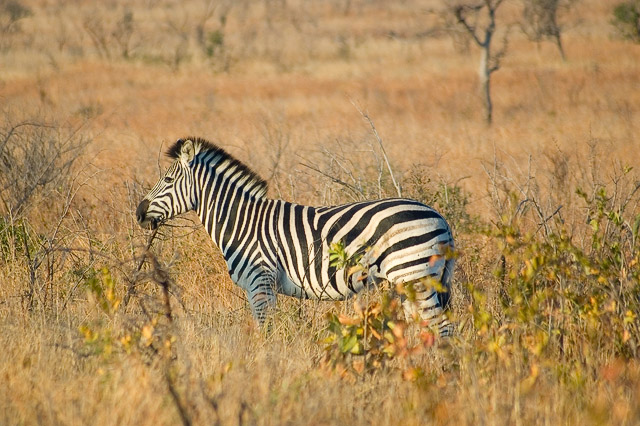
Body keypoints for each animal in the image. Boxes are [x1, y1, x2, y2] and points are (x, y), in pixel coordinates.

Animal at [136, 137, 456, 336]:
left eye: (167, 180)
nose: (138, 213)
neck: (241, 222)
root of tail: (440, 218)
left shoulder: (260, 282)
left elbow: (265, 335)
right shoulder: (258, 287)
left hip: (415, 275)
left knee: (441, 328)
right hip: (411, 282)